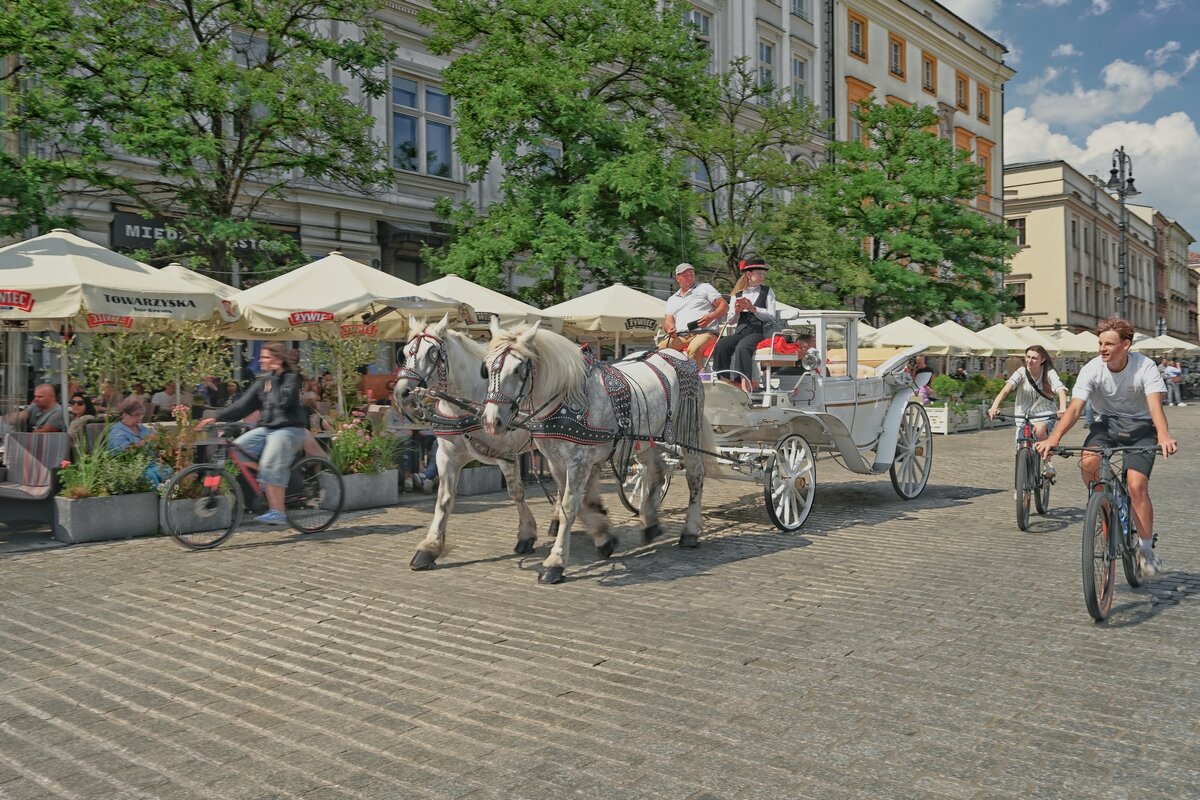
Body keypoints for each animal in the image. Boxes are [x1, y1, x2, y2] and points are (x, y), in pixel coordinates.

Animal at [391, 316, 547, 573]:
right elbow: (444, 499)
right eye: (403, 352)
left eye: (432, 353)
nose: (402, 393)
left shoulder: (507, 456)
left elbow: (516, 493)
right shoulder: (446, 457)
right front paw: (429, 548)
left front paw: (526, 535)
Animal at [480, 319, 710, 587]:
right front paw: (604, 538)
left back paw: (689, 532)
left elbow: (569, 506)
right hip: (645, 440)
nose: (491, 422)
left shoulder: (579, 461)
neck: (567, 397)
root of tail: (677, 355)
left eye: (519, 370)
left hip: (688, 433)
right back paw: (650, 523)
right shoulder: (557, 462)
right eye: (487, 368)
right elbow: (575, 503)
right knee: (657, 473)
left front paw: (555, 563)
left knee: (695, 476)